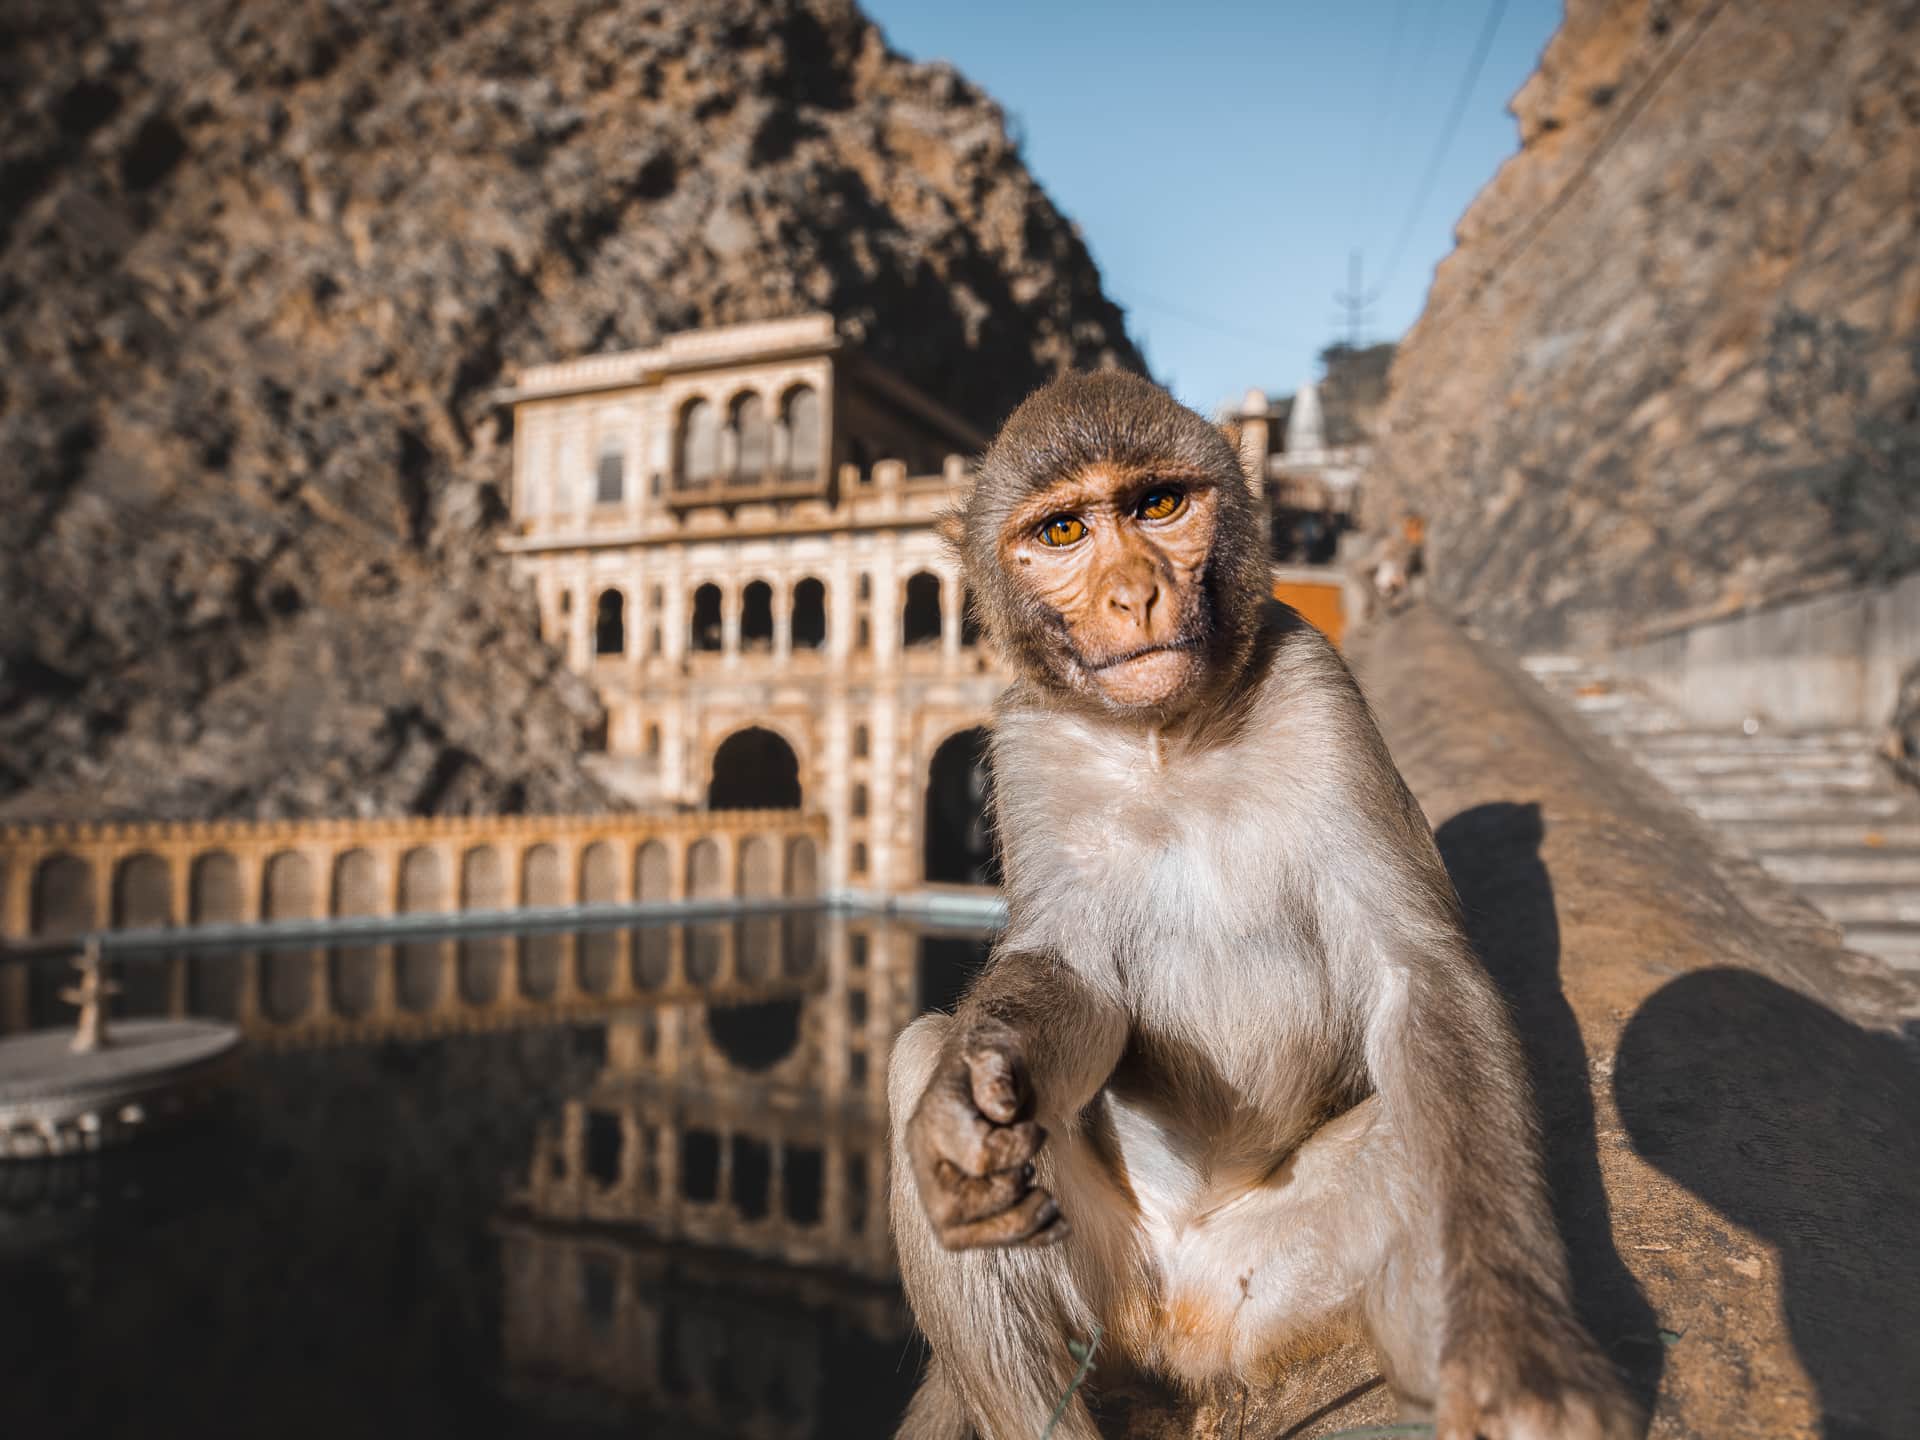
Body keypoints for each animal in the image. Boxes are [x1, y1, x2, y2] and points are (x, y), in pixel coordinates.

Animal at [888, 370, 1638, 1440]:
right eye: (1064, 529)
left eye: (1158, 504)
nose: (1133, 594)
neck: (1168, 740)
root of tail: (1181, 1327)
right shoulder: (1028, 745)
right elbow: (1069, 986)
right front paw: (970, 1100)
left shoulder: (1317, 689)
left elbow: (1418, 977)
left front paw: (1515, 1343)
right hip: (1110, 1289)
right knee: (916, 1059)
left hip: (1273, 1288)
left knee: (1416, 1120)